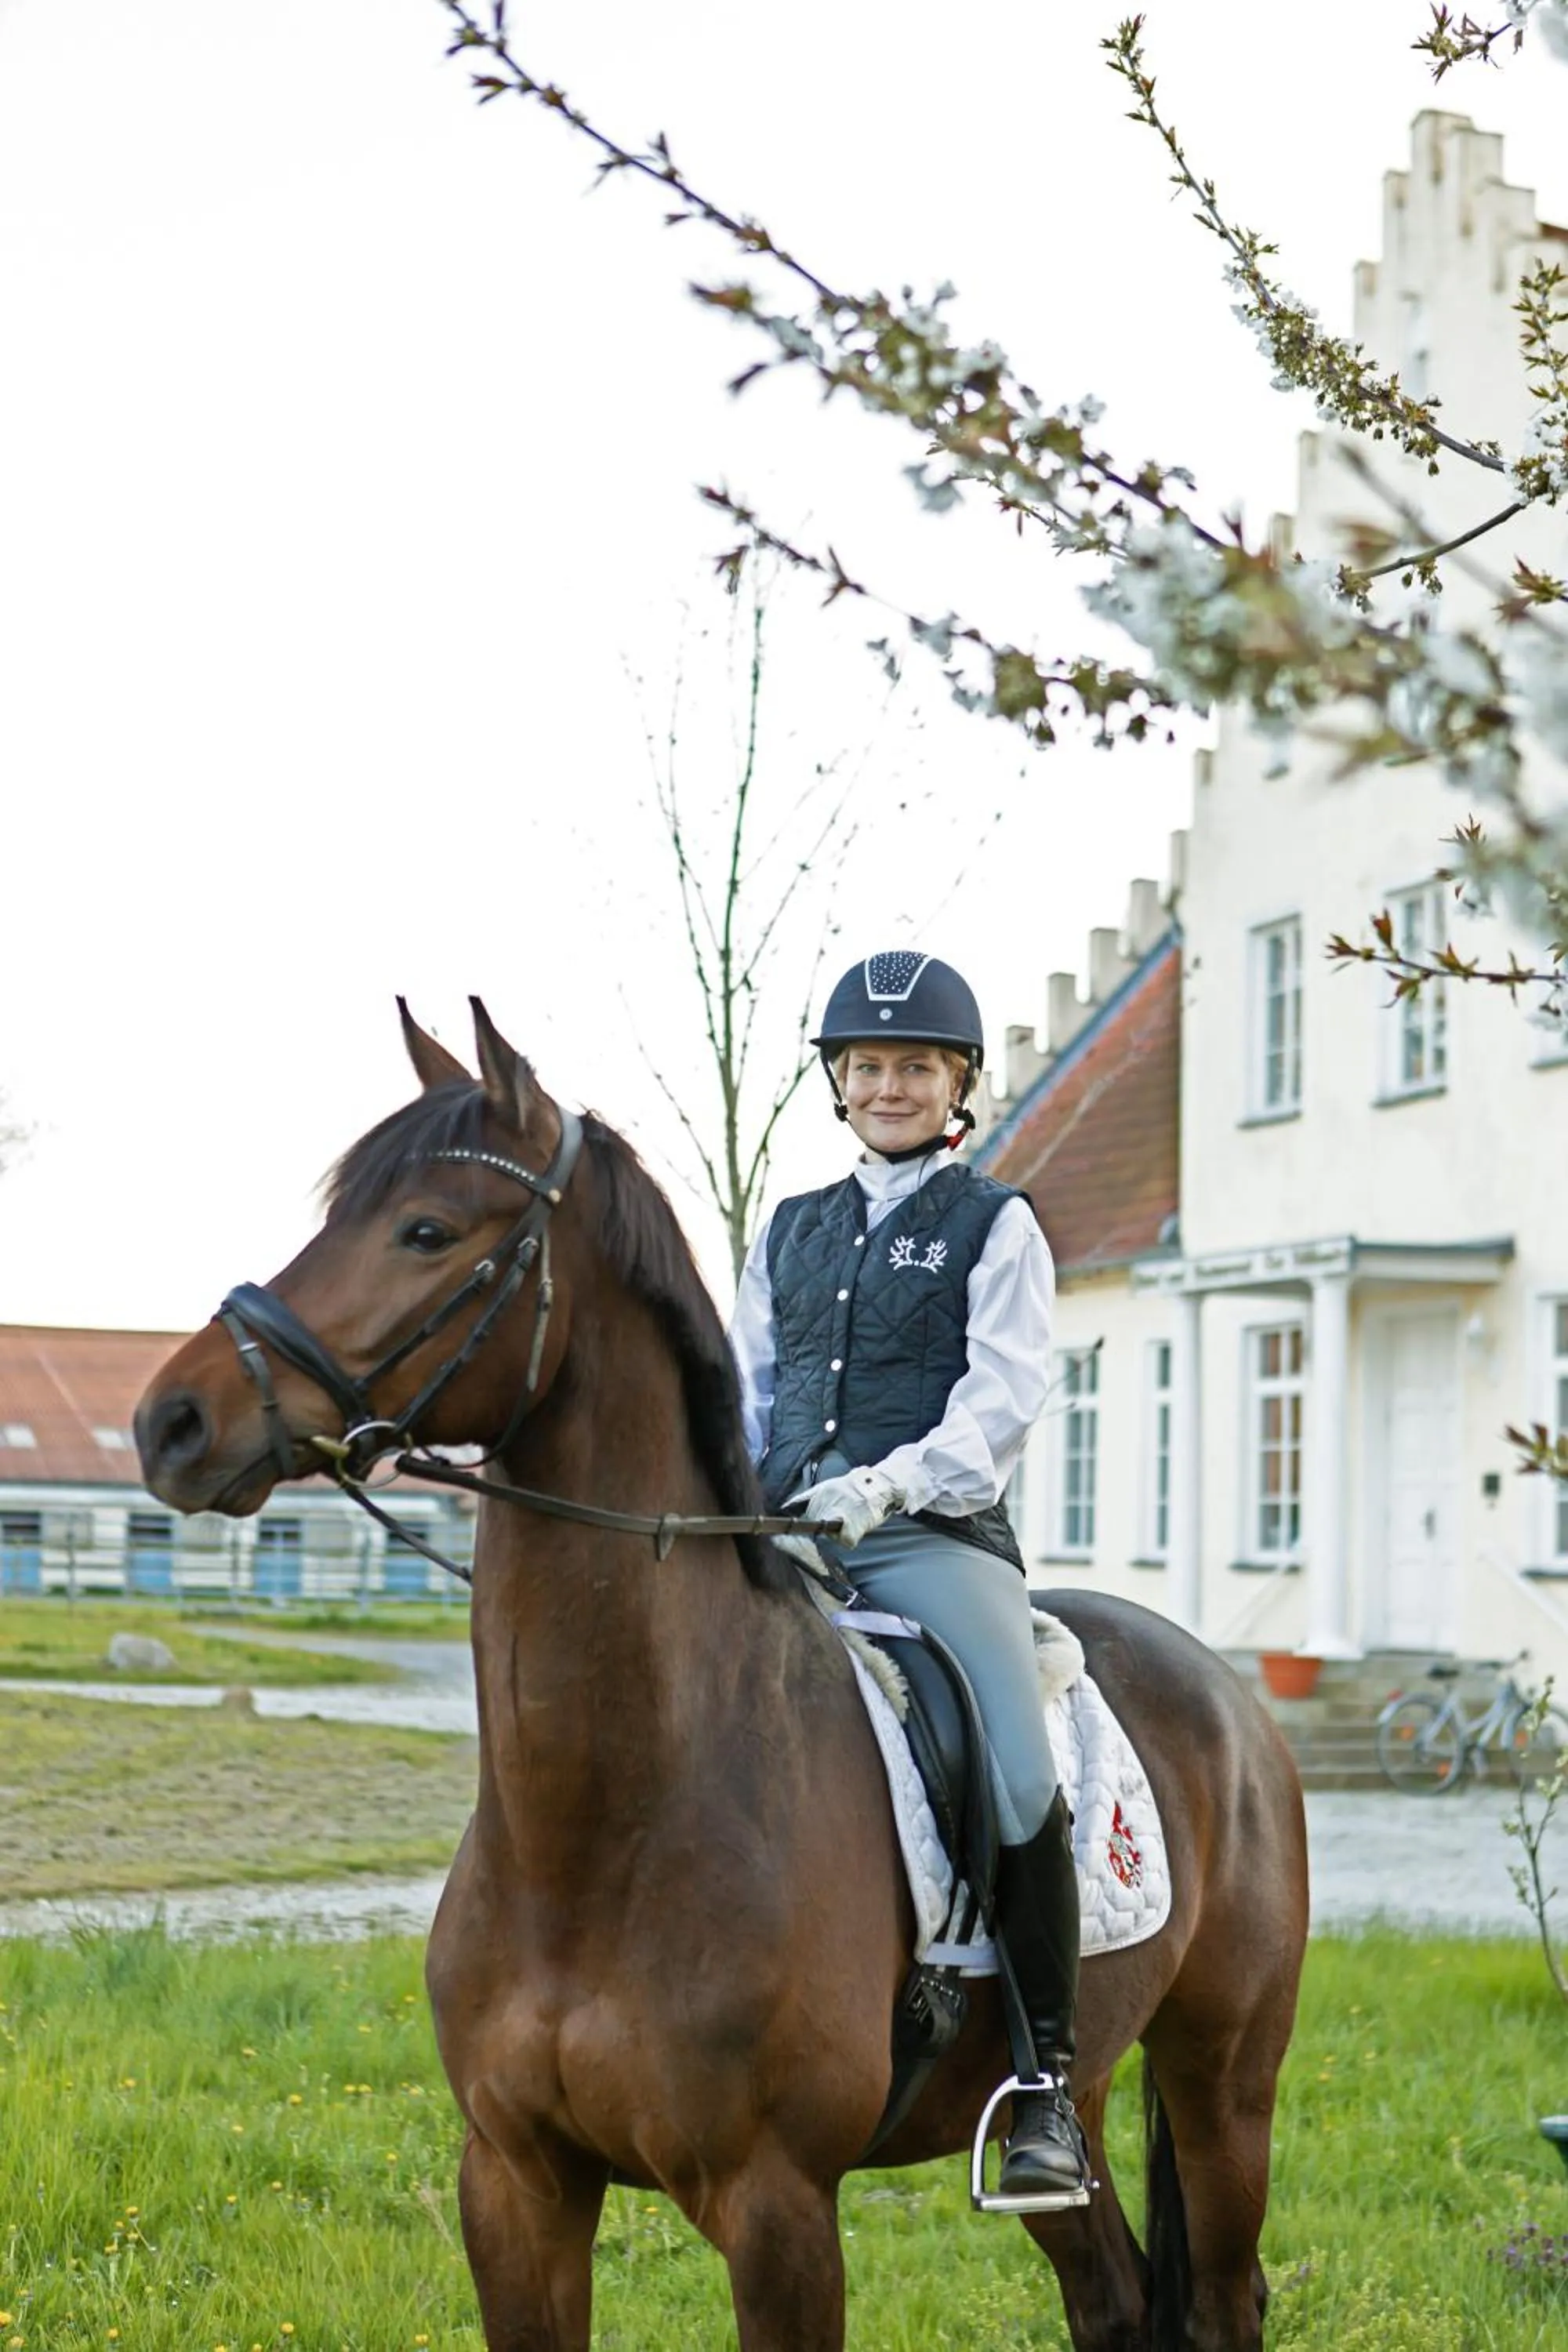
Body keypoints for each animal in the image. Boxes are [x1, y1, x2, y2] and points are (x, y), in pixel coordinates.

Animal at [134, 998, 1308, 2352]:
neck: (604, 1829)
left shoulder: (777, 2207)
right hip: (1075, 2100)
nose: (171, 1422)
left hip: (1224, 2086)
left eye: (426, 1229)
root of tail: (1230, 1697)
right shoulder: (517, 2184)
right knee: (1111, 2295)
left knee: (1220, 2293)